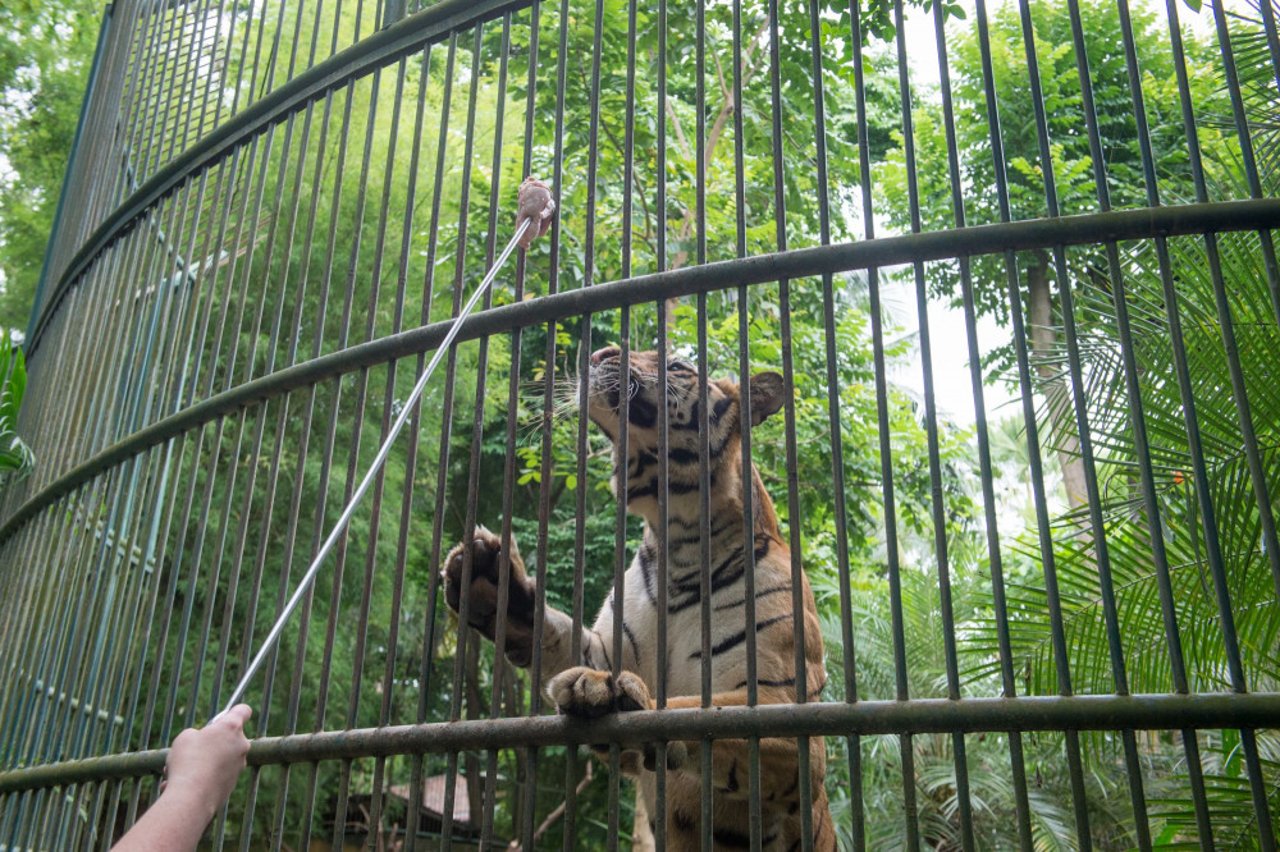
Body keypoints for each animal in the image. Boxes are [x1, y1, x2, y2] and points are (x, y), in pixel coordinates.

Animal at [445, 342, 834, 844]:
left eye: (677, 365)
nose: (600, 352)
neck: (681, 542)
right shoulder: (606, 648)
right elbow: (557, 635)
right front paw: (489, 579)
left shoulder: (787, 717)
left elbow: (699, 712)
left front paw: (623, 697)